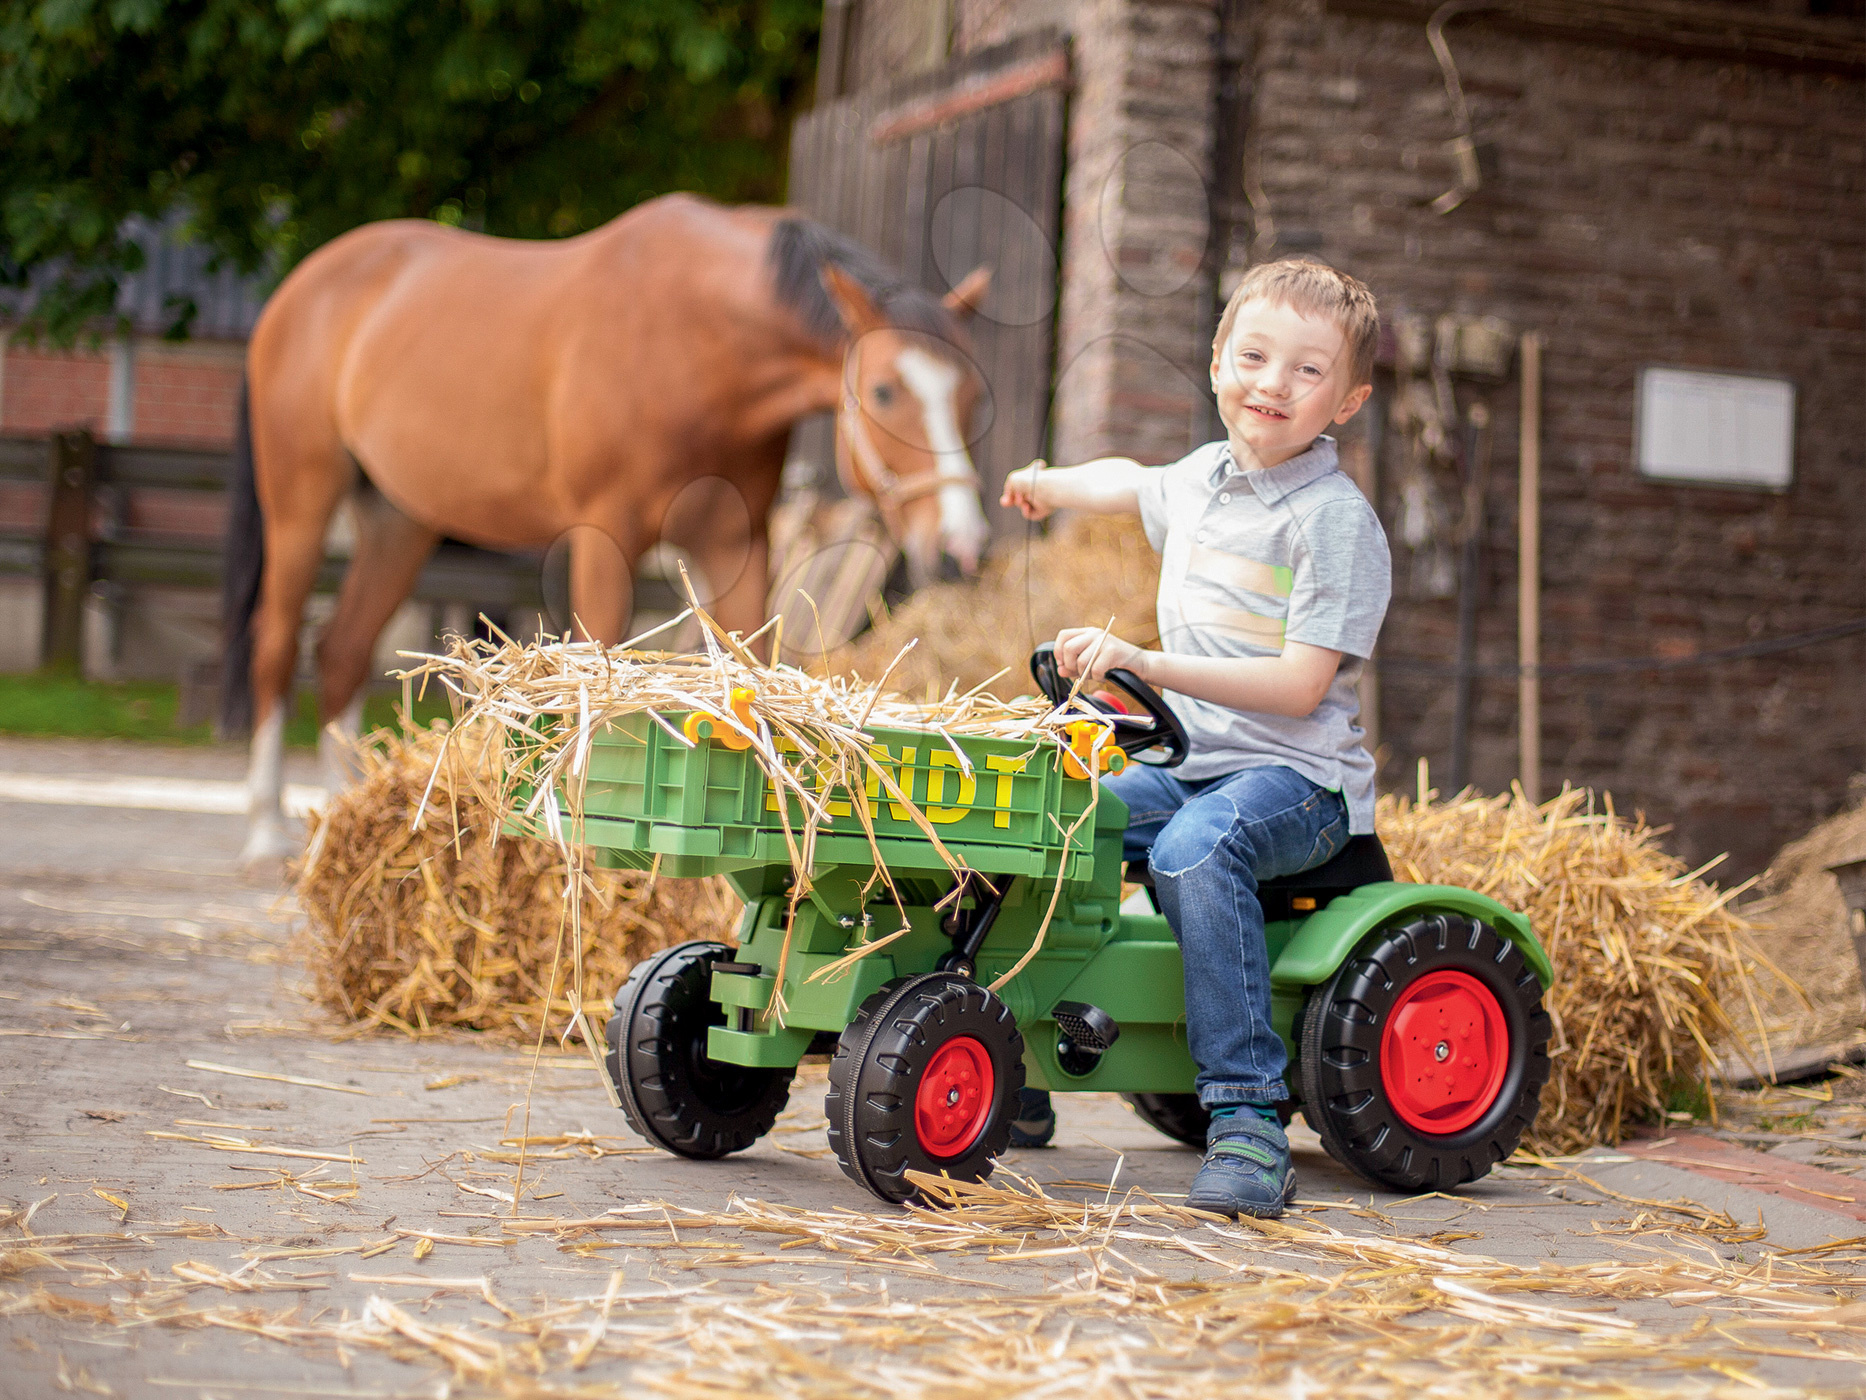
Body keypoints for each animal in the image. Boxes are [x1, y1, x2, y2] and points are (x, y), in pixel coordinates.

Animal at [222, 192, 992, 862]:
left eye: (971, 396)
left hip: (398, 521)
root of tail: (301, 288)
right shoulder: (605, 536)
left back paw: (335, 818)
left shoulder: (737, 545)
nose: (962, 547)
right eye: (885, 392)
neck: (698, 340)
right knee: (277, 644)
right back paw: (262, 829)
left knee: (343, 651)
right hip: (301, 502)